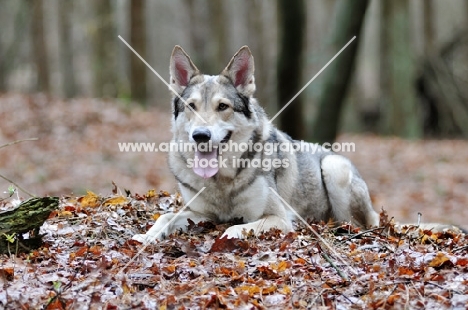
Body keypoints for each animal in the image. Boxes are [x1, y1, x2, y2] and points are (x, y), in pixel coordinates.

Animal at [132, 44, 380, 243]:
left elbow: (235, 228)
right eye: (191, 106)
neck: (222, 181)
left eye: (222, 106)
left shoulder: (279, 218)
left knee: (358, 224)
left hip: (334, 168)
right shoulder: (202, 214)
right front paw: (148, 235)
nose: (201, 135)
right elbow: (165, 216)